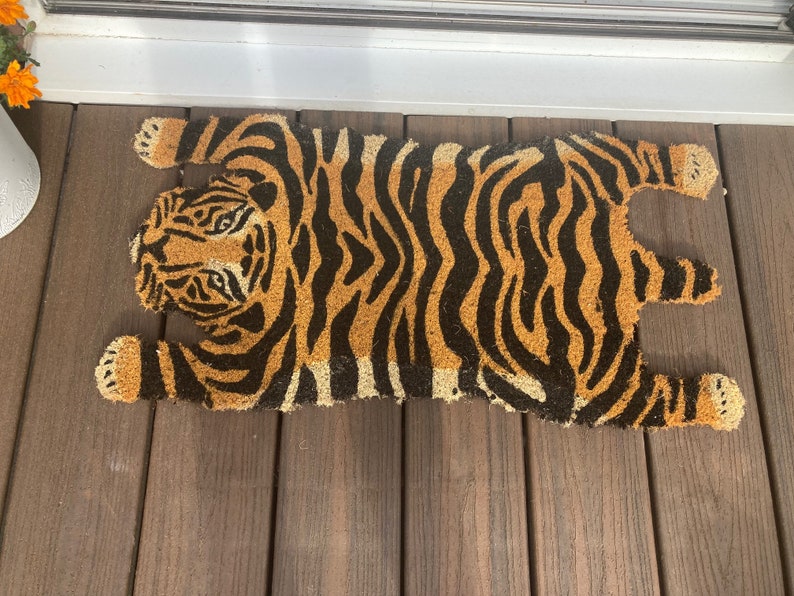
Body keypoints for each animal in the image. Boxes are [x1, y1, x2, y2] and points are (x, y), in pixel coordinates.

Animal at [95, 113, 745, 430]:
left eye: (204, 280)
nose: (143, 248)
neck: (283, 254)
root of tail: (625, 266)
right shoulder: (262, 144)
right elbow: (208, 133)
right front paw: (160, 139)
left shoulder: (243, 377)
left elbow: (169, 367)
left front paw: (116, 368)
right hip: (592, 168)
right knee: (645, 162)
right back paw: (696, 170)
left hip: (598, 394)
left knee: (667, 403)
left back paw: (723, 400)